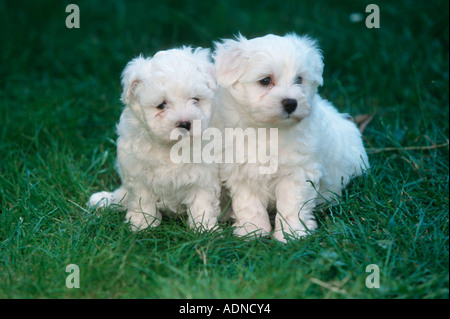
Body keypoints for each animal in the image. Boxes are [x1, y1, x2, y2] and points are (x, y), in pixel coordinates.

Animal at [88, 47, 221, 232]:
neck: (170, 146)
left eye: (195, 100)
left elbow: (202, 202)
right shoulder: (137, 172)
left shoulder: (204, 175)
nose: (184, 123)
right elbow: (142, 199)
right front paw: (142, 224)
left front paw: (205, 228)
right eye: (161, 105)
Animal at [214, 33, 370, 242]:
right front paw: (253, 231)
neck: (268, 130)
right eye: (265, 81)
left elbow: (292, 204)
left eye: (299, 79)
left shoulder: (298, 171)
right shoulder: (242, 171)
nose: (291, 103)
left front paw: (292, 233)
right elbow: (249, 204)